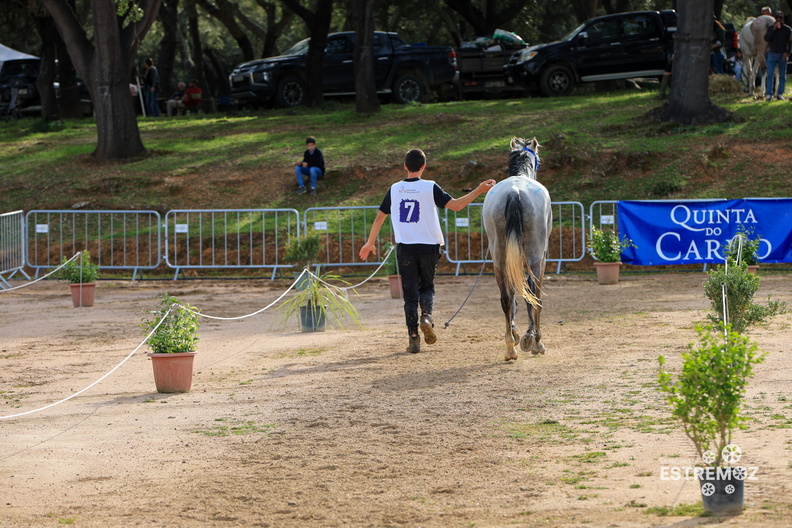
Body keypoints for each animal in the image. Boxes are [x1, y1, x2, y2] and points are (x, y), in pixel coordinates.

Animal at [482, 136, 552, 360]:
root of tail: (514, 192)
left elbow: (514, 296)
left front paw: (516, 332)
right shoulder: (540, 257)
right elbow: (531, 293)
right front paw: (530, 337)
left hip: (499, 258)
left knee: (506, 298)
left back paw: (510, 348)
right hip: (535, 258)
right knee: (535, 296)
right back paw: (537, 343)